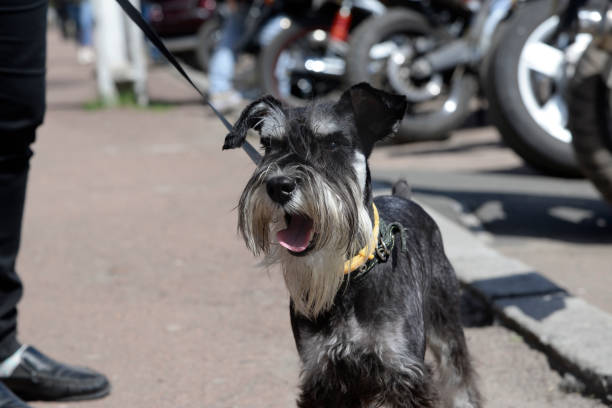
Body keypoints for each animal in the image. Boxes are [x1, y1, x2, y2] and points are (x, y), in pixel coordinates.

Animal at [222, 83, 480, 408]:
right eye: (269, 144)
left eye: (332, 142)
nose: (278, 186)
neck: (349, 279)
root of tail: (404, 196)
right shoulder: (323, 374)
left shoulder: (402, 373)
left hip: (446, 323)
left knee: (459, 377)